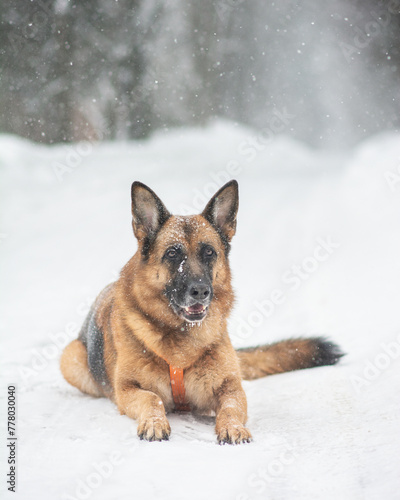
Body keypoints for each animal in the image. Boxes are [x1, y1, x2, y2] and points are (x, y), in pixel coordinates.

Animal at [60, 181, 344, 446]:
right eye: (172, 254)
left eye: (209, 252)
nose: (200, 291)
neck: (181, 337)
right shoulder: (127, 389)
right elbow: (152, 398)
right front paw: (154, 423)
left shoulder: (231, 387)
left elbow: (230, 407)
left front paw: (233, 427)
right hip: (70, 358)